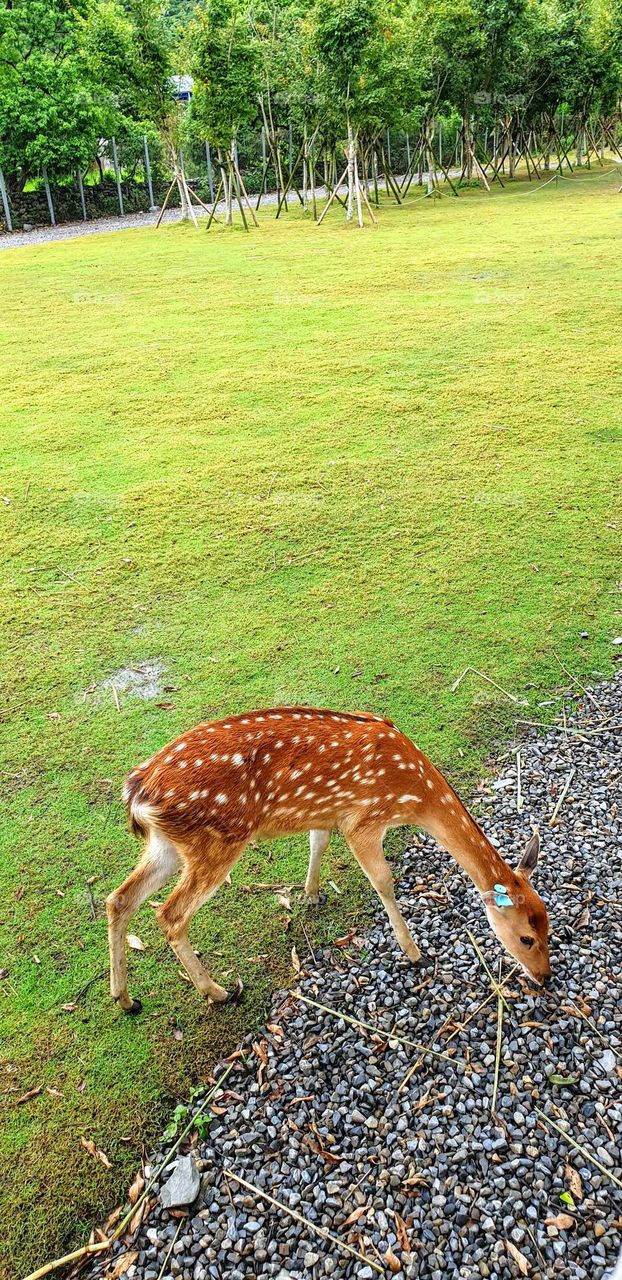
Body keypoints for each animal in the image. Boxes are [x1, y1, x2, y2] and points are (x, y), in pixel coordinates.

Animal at [107, 706, 551, 1014]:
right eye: (526, 938)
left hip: (166, 845)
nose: (545, 977)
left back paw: (126, 999)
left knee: (120, 898)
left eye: (550, 924)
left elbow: (317, 843)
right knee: (170, 913)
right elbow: (384, 881)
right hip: (215, 842)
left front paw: (311, 894)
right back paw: (220, 992)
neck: (415, 793)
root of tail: (138, 792)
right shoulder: (363, 820)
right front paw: (414, 952)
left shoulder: (328, 814)